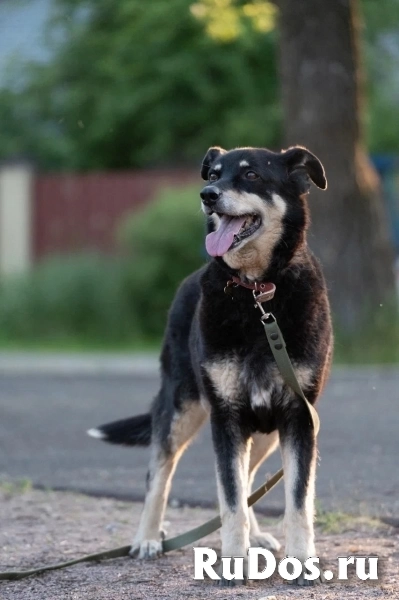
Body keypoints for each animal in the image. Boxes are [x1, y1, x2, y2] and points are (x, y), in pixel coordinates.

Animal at [88, 146, 334, 584]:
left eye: (251, 175)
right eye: (215, 174)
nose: (207, 195)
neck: (257, 295)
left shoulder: (298, 418)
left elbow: (298, 501)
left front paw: (302, 561)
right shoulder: (227, 418)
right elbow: (230, 500)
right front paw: (234, 562)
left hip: (266, 432)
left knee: (249, 477)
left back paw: (258, 537)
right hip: (182, 408)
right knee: (159, 474)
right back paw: (147, 538)